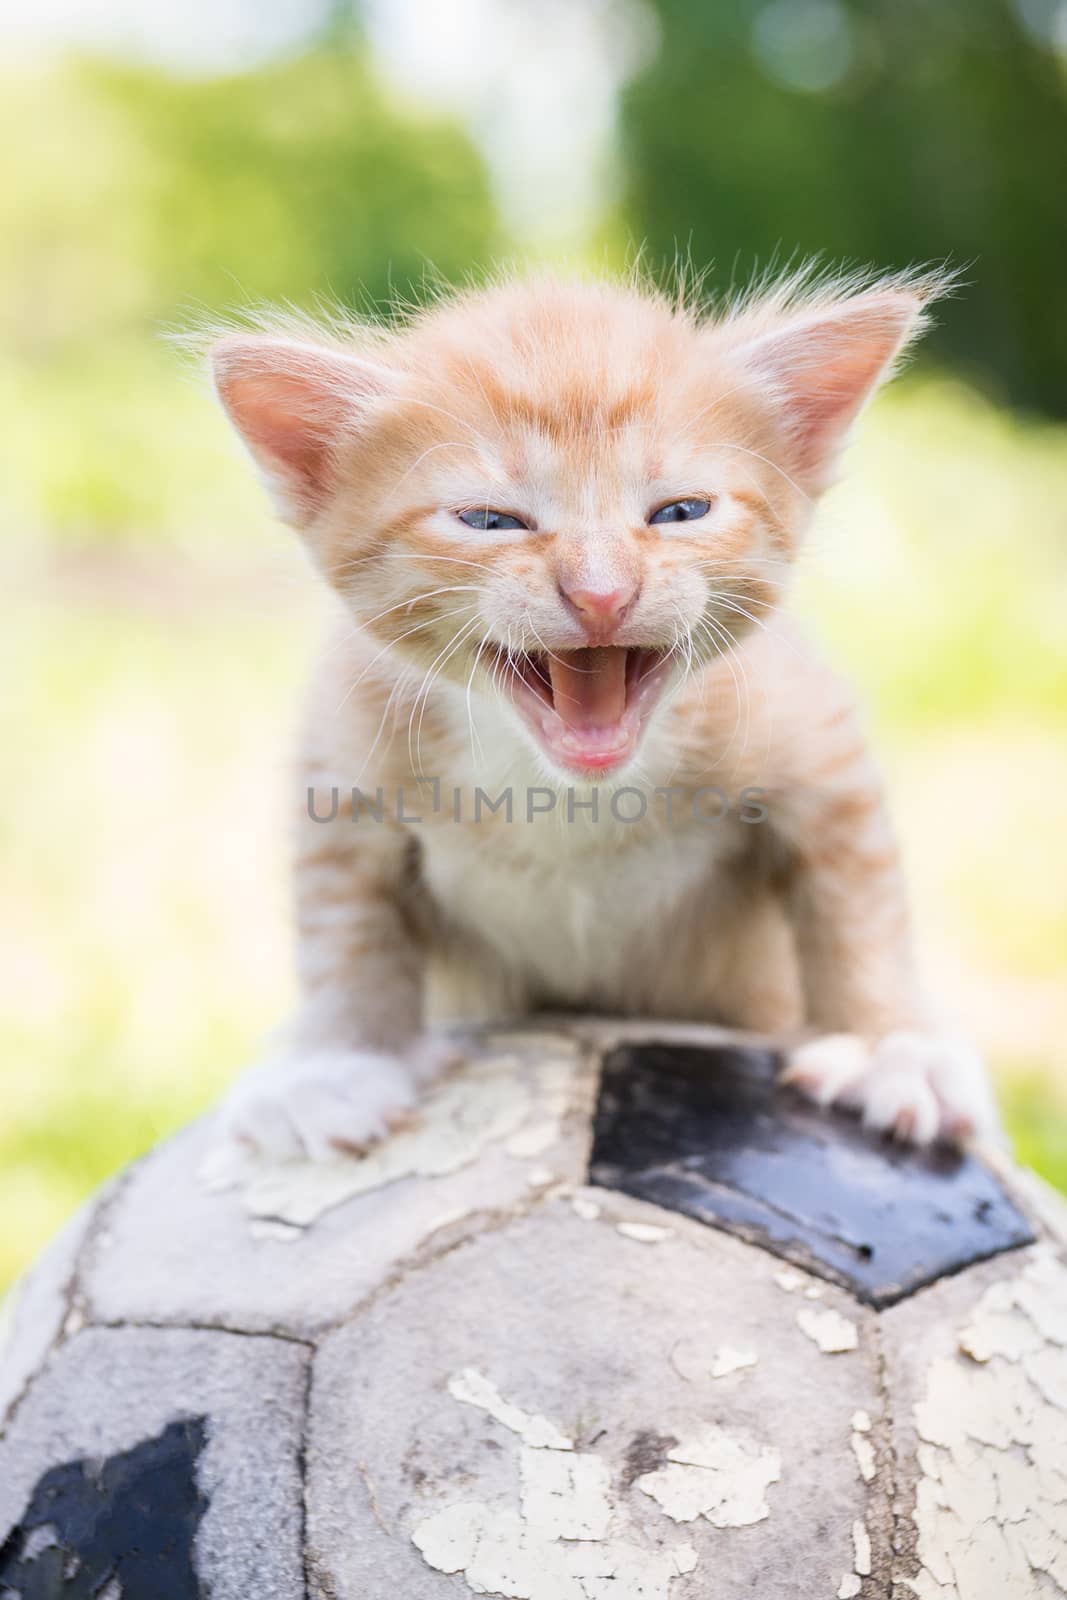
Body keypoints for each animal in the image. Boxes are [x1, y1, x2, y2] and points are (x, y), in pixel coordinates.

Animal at [211, 268, 1004, 1158]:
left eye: (679, 512)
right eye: (490, 520)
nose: (600, 593)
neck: (566, 792)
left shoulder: (817, 747)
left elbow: (858, 908)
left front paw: (889, 1045)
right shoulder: (343, 763)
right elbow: (344, 927)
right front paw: (335, 1061)